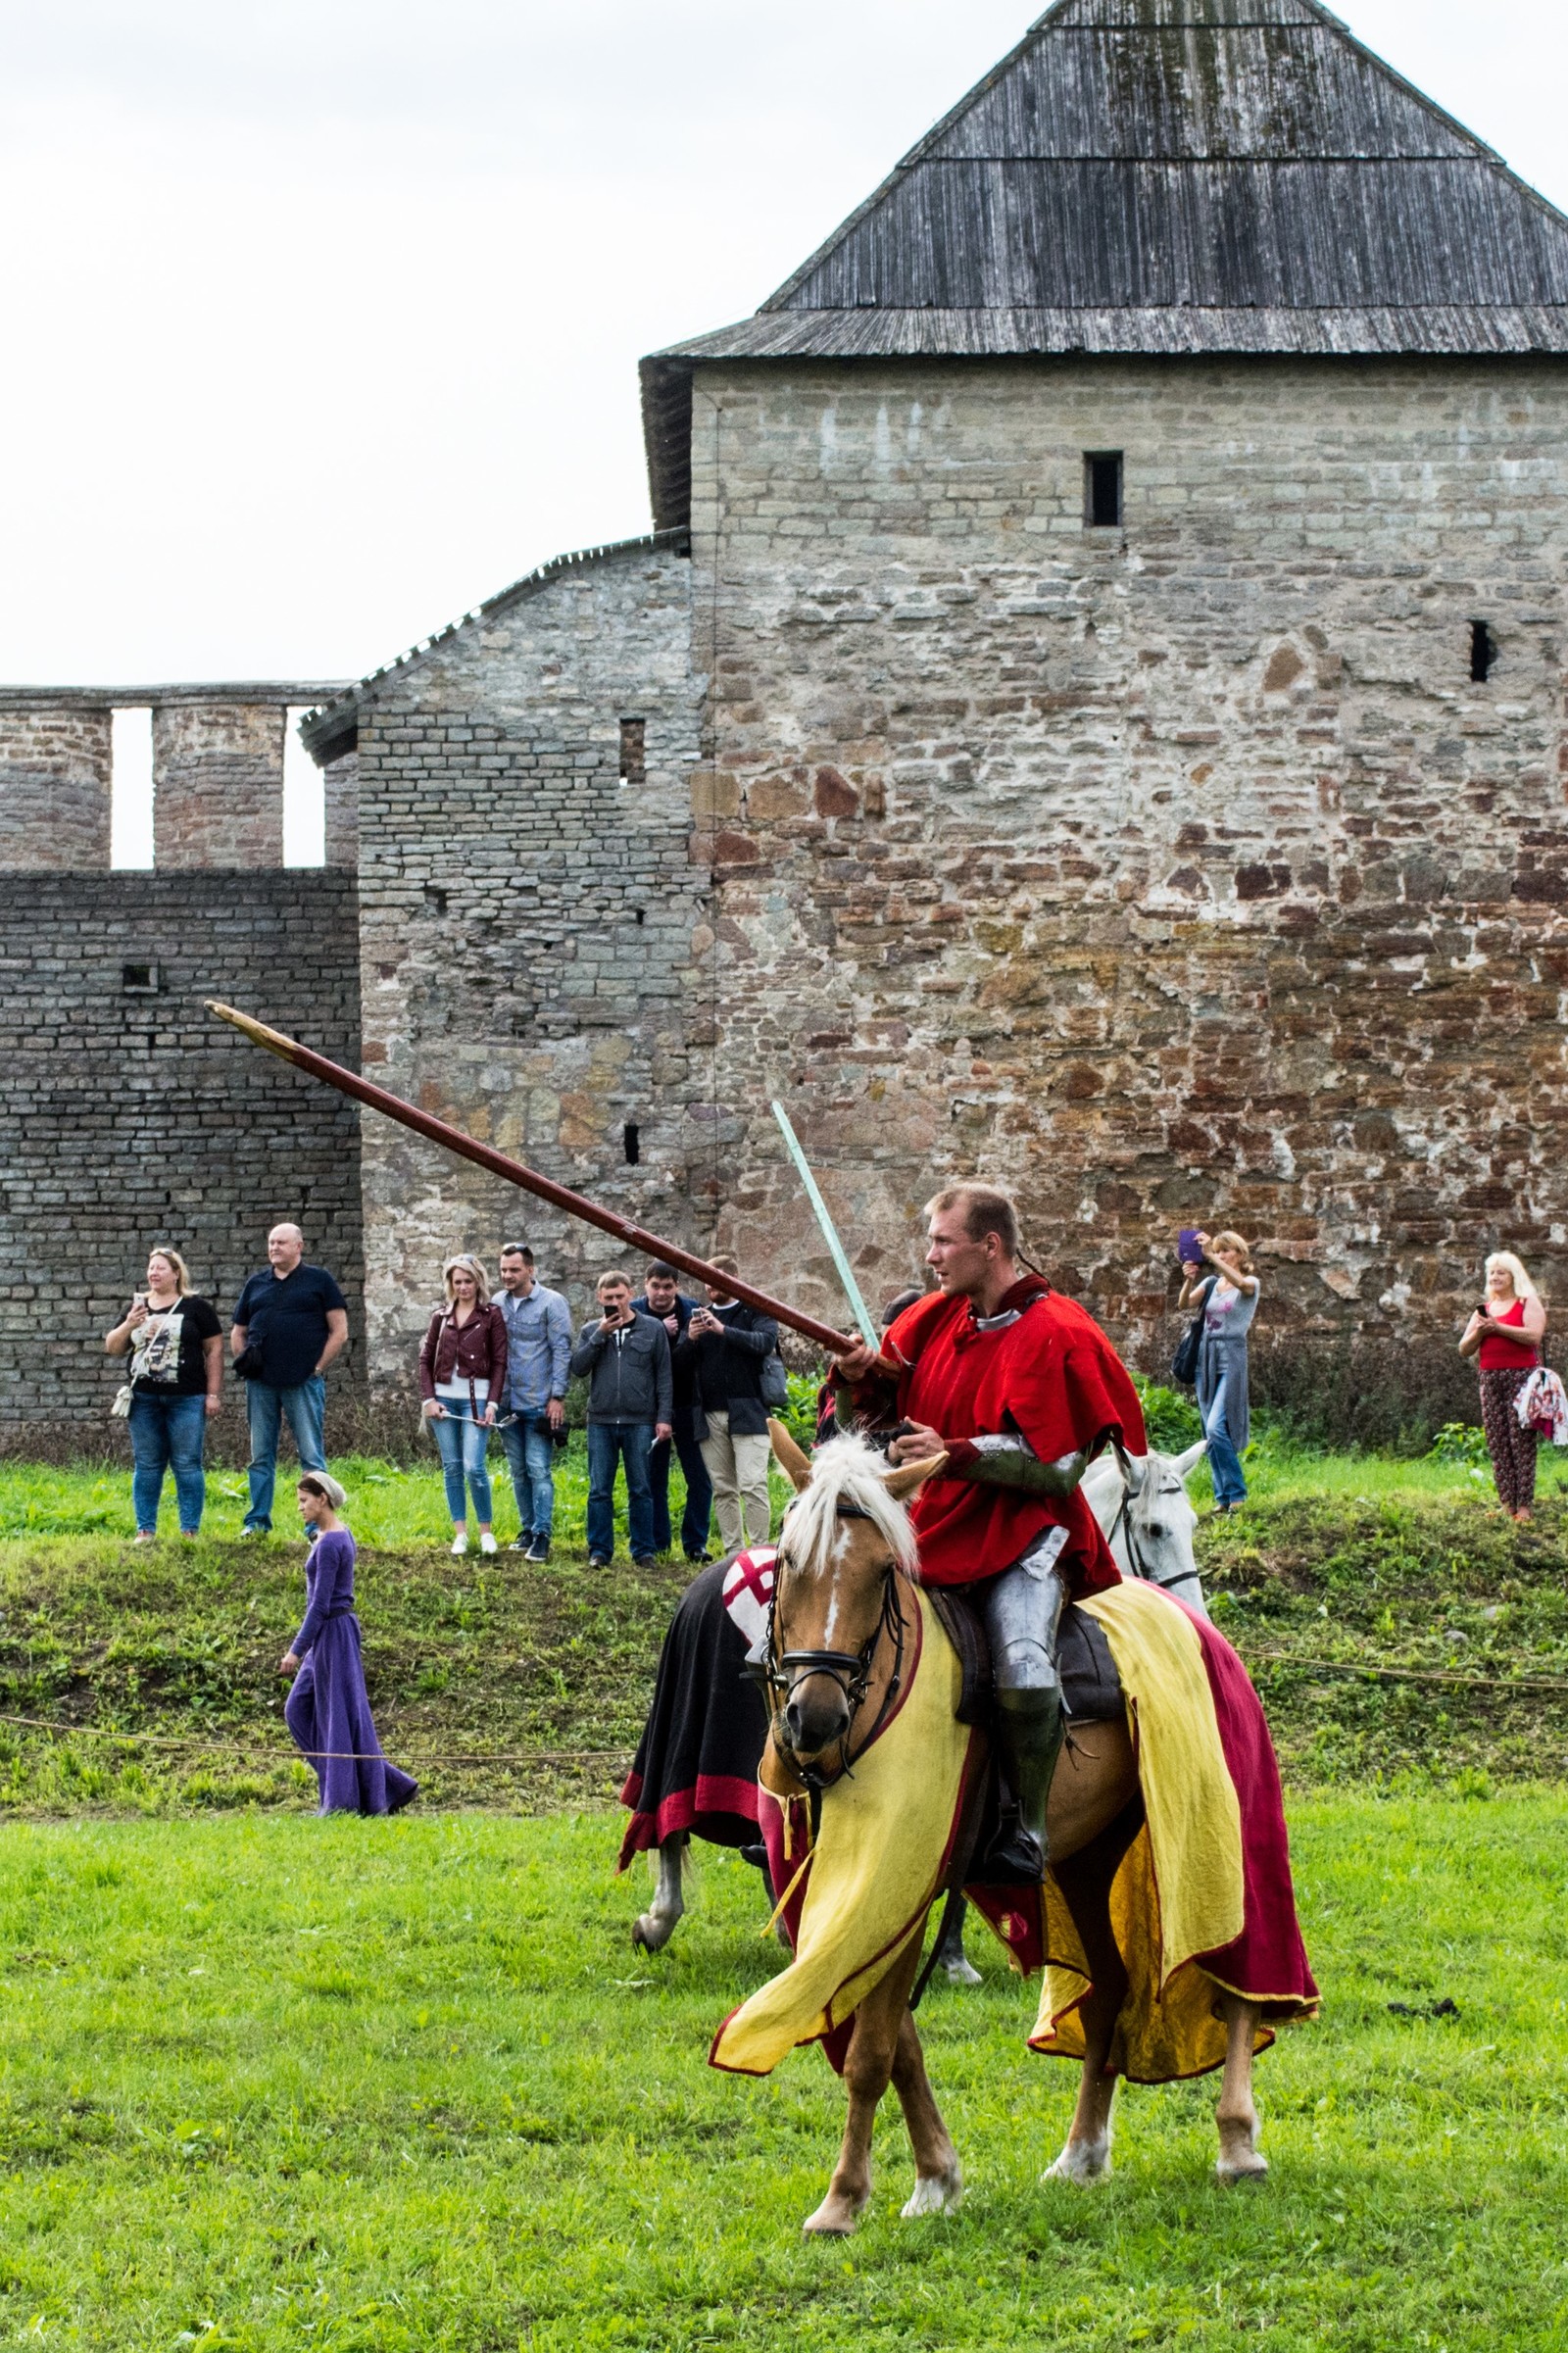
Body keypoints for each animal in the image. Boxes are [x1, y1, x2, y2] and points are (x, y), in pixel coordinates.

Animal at [758, 1421, 1271, 2230]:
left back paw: (1237, 2140)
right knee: (1111, 1986)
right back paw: (1082, 2152)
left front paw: (843, 2199)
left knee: (1237, 1975)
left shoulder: (905, 1881)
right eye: (787, 1561)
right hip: (1090, 1855)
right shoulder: (863, 1895)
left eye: (881, 1571)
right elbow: (897, 2043)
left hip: (1213, 1835)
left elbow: (871, 2051)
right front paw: (935, 2177)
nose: (814, 1717)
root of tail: (1193, 1627)